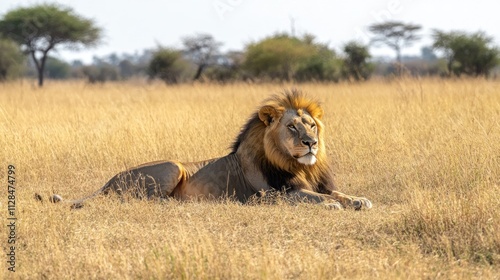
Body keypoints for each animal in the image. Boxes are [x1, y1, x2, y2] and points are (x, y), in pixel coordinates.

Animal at [49, 89, 372, 210]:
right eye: (292, 127)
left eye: (312, 126)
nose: (311, 143)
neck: (298, 164)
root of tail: (109, 180)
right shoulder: (271, 195)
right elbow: (311, 197)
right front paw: (330, 205)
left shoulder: (317, 182)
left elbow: (337, 192)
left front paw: (358, 199)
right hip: (173, 165)